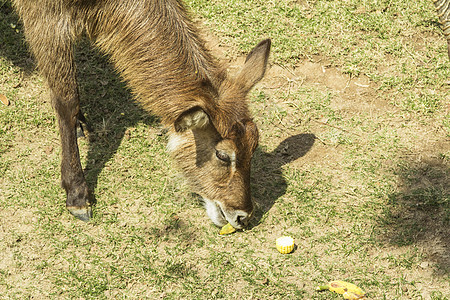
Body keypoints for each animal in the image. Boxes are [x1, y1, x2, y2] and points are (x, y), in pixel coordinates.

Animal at [12, 0, 272, 229]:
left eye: (254, 144)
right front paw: (77, 196)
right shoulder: (45, 17)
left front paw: (80, 125)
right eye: (222, 155)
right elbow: (67, 101)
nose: (243, 216)